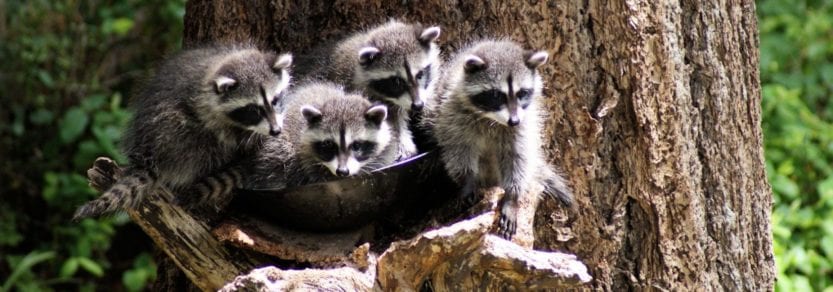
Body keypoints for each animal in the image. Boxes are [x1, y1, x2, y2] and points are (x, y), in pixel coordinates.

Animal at [73, 45, 292, 219]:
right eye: (253, 110)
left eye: (275, 100)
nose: (275, 131)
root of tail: (148, 155)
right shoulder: (207, 114)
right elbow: (228, 135)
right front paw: (252, 138)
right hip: (175, 138)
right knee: (204, 147)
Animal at [428, 39, 572, 240]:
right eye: (496, 95)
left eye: (522, 93)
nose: (514, 121)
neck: (492, 118)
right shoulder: (452, 113)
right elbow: (458, 150)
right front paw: (467, 180)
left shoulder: (523, 124)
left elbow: (518, 157)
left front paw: (512, 196)